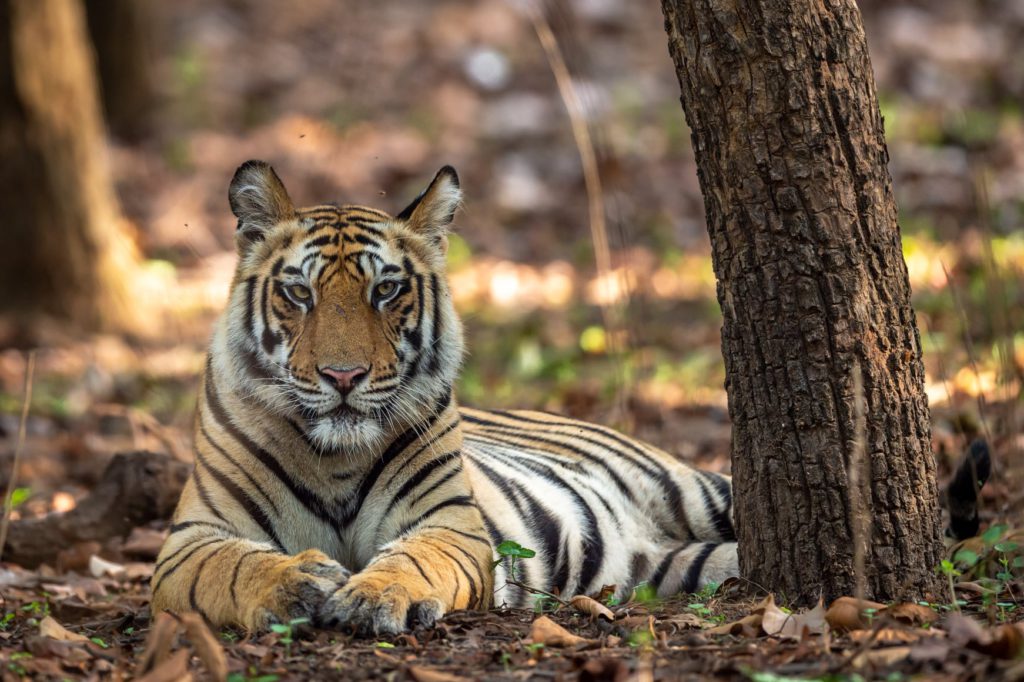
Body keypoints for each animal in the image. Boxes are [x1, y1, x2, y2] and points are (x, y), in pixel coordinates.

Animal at [149, 159, 983, 630]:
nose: (344, 378)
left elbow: (410, 557)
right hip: (684, 566)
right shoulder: (190, 537)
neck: (334, 457)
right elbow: (234, 567)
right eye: (300, 294)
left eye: (386, 291)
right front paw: (295, 585)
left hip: (700, 489)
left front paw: (371, 595)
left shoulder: (448, 522)